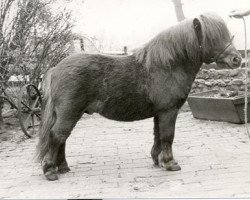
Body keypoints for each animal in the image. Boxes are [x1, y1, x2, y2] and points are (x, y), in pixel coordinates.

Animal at [36, 12, 241, 181]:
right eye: (212, 38)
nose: (237, 59)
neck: (168, 65)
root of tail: (55, 69)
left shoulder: (160, 112)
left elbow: (158, 135)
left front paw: (158, 160)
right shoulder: (169, 110)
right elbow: (168, 136)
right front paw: (170, 163)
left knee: (62, 138)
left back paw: (63, 167)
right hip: (69, 112)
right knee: (57, 135)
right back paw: (50, 170)